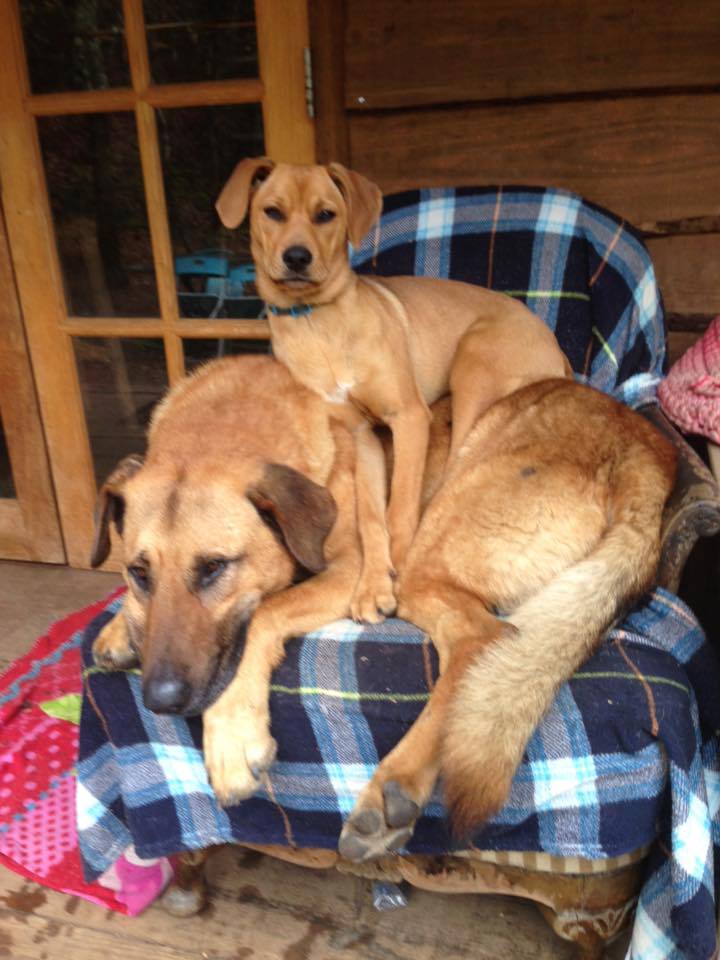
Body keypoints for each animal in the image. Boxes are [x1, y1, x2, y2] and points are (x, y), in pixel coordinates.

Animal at [91, 356, 675, 850]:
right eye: (139, 573)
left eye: (214, 567)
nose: (160, 701)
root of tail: (642, 453)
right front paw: (120, 629)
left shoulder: (347, 570)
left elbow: (265, 613)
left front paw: (232, 736)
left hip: (421, 559)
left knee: (480, 642)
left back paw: (397, 782)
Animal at [215, 158, 572, 623]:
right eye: (272, 212)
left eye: (326, 215)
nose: (297, 257)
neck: (316, 322)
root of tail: (556, 348)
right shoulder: (362, 435)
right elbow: (372, 517)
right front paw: (372, 584)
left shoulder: (409, 417)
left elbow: (399, 505)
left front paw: (398, 567)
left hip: (474, 364)